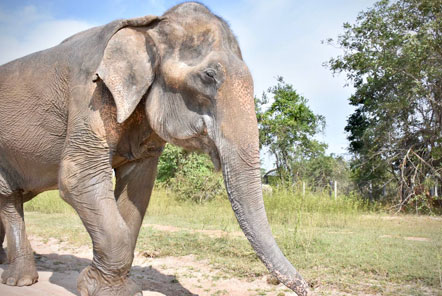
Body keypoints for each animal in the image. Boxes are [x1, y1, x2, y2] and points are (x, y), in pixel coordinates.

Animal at [0, 2, 308, 296]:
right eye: (209, 76)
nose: (306, 288)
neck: (149, 28)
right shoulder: (89, 95)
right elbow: (78, 177)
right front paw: (104, 290)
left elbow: (137, 185)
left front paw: (115, 287)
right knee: (10, 199)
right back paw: (20, 281)